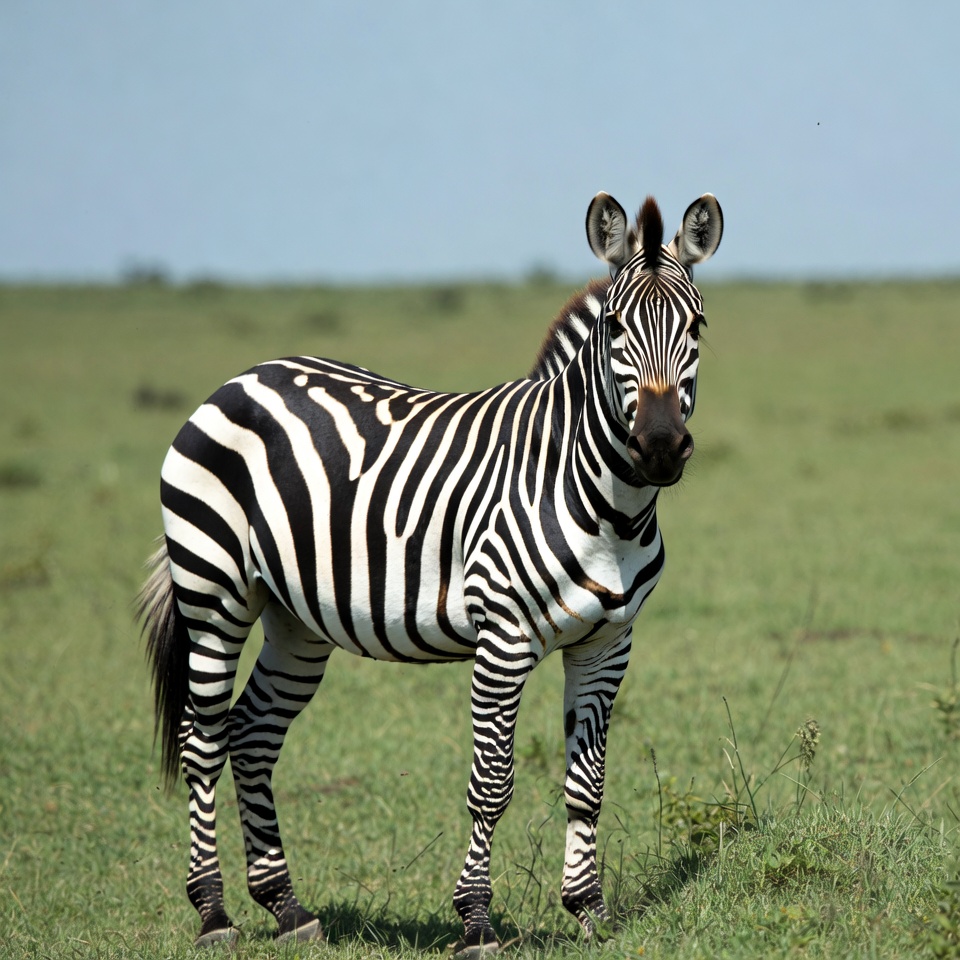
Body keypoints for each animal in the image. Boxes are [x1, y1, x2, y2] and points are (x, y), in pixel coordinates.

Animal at [138, 190, 722, 953]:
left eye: (698, 326)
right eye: (614, 327)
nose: (659, 448)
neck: (606, 504)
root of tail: (244, 377)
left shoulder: (608, 643)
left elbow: (586, 783)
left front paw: (591, 910)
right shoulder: (503, 638)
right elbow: (492, 783)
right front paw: (475, 922)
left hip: (295, 619)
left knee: (253, 735)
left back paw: (287, 908)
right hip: (215, 593)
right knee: (202, 740)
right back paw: (213, 913)